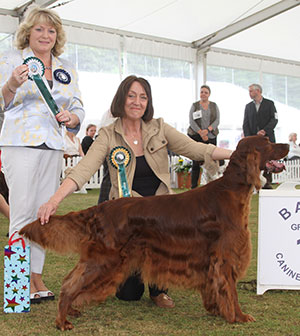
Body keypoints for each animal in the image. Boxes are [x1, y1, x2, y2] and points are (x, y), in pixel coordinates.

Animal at [19, 135, 288, 330]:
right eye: (267, 143)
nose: (286, 144)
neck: (231, 190)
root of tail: (100, 209)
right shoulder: (226, 256)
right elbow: (231, 291)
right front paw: (239, 316)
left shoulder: (212, 260)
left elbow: (215, 287)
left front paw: (216, 310)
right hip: (105, 259)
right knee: (69, 284)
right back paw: (62, 320)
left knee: (72, 280)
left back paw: (72, 310)